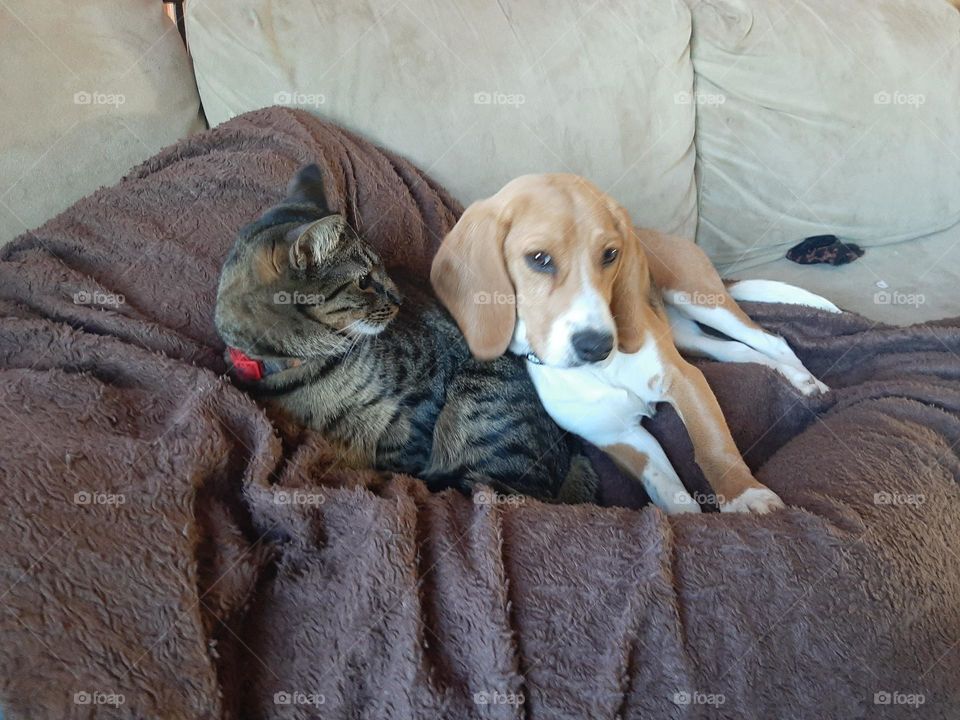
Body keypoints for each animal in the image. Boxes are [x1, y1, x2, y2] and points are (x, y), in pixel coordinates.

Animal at [214, 164, 596, 504]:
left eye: (381, 269)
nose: (399, 298)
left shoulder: (421, 405)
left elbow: (401, 457)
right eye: (364, 281)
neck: (304, 365)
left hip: (478, 406)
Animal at [430, 174, 840, 512]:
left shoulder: (685, 381)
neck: (602, 372)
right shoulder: (619, 436)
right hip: (687, 338)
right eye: (538, 259)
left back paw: (807, 382)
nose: (597, 346)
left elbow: (713, 448)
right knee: (741, 351)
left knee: (773, 340)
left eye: (610, 254)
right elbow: (670, 494)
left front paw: (745, 496)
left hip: (698, 298)